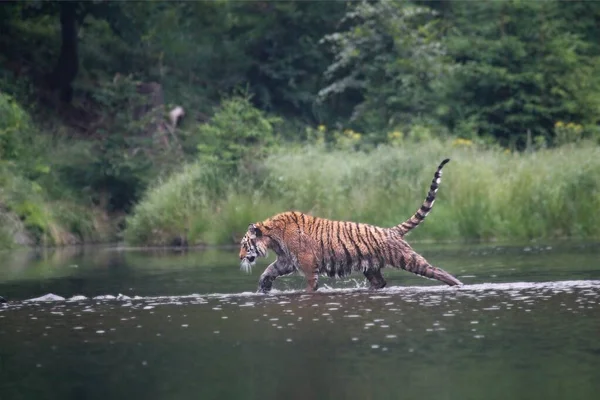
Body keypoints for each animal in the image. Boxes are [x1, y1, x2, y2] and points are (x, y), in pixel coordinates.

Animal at [237, 158, 462, 292]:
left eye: (245, 245)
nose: (239, 257)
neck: (273, 237)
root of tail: (390, 230)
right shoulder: (286, 260)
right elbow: (269, 270)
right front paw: (263, 287)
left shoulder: (307, 265)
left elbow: (309, 286)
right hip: (371, 268)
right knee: (380, 282)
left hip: (406, 258)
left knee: (436, 270)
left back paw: (459, 285)